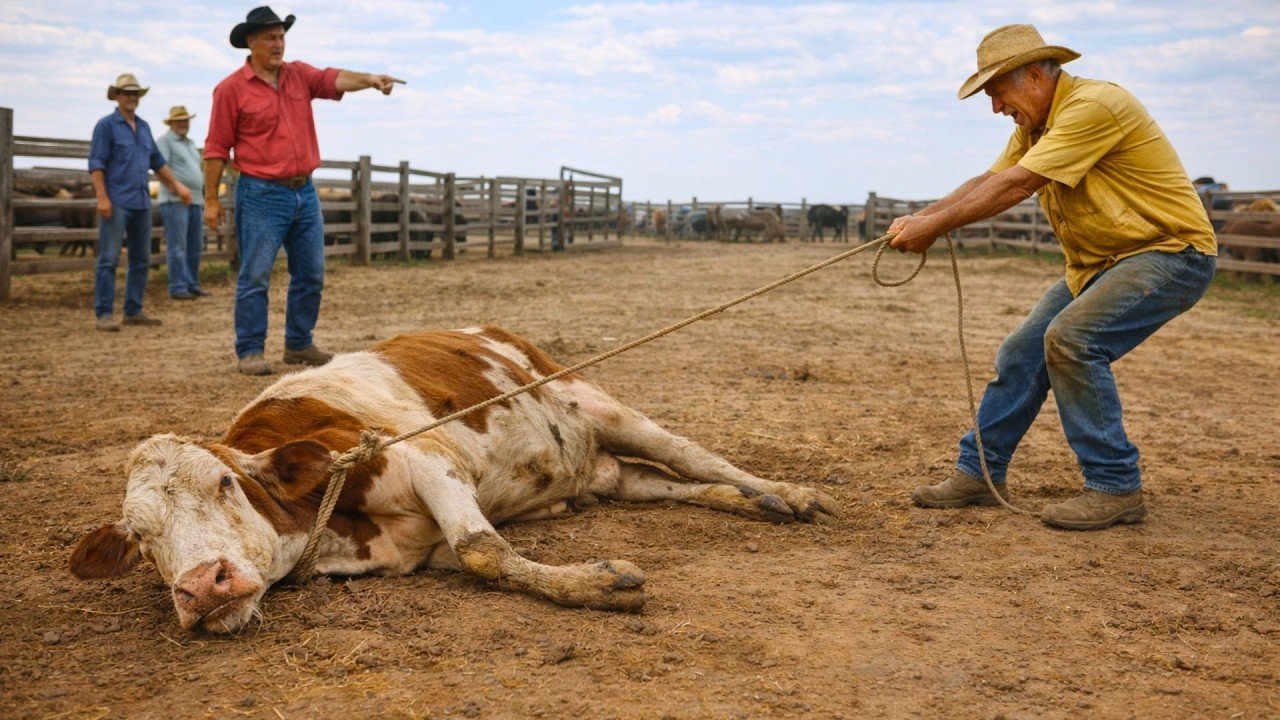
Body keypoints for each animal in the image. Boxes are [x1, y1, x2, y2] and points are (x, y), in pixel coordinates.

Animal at [69, 326, 839, 634]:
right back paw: (753, 500)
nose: (204, 588)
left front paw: (597, 585)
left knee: (686, 452)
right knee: (660, 482)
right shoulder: (419, 545)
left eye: (226, 484)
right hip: (606, 475)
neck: (333, 527)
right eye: (141, 538)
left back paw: (787, 493)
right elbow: (477, 554)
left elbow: (483, 550)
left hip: (593, 398)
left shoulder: (423, 457)